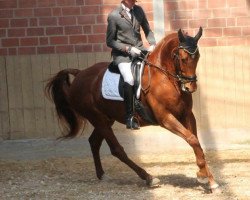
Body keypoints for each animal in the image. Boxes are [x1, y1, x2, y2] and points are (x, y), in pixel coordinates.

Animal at [45, 27, 219, 191]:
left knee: (94, 142)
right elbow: (192, 139)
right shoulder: (165, 118)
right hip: (97, 118)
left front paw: (209, 179)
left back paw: (102, 175)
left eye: (197, 57)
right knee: (116, 150)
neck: (166, 79)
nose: (190, 87)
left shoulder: (187, 115)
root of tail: (80, 74)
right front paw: (204, 176)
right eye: (183, 58)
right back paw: (148, 177)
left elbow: (196, 142)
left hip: (106, 119)